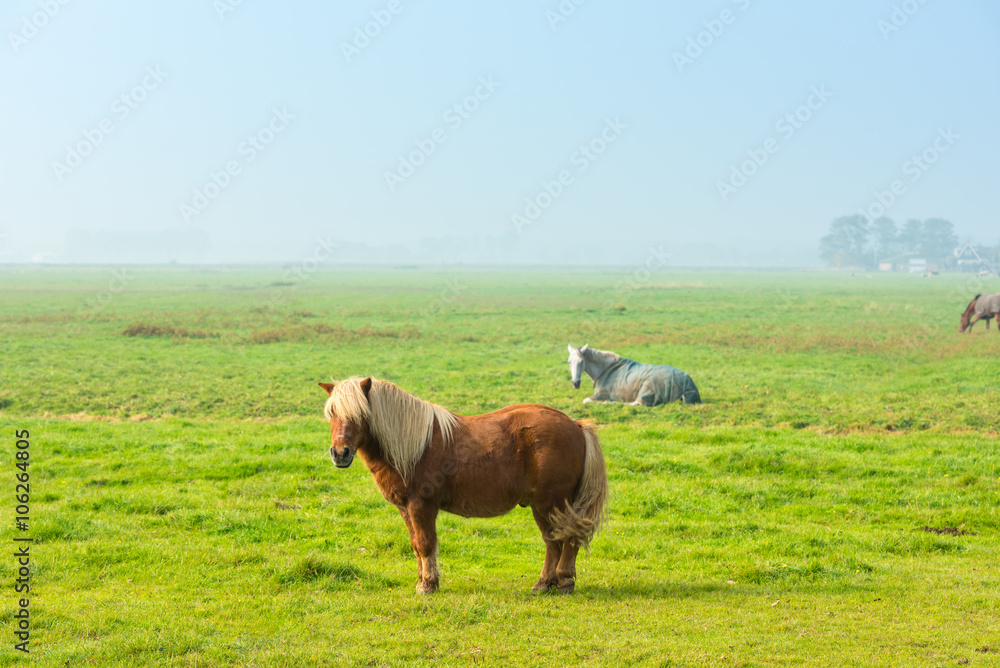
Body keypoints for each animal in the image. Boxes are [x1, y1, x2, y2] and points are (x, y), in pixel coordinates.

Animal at [318, 377, 608, 595]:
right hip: (543, 506)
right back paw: (545, 583)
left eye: (360, 414)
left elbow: (425, 543)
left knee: (567, 538)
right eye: (332, 413)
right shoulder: (405, 508)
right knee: (553, 541)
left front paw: (428, 585)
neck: (414, 445)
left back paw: (564, 581)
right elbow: (416, 545)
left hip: (554, 503)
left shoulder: (421, 505)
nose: (340, 453)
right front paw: (423, 580)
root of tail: (576, 425)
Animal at [567, 344, 702, 406]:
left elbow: (585, 400)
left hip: (646, 389)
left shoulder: (599, 395)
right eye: (569, 361)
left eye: (581, 361)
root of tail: (688, 385)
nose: (575, 383)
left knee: (635, 403)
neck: (605, 369)